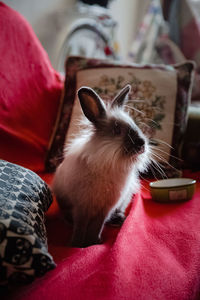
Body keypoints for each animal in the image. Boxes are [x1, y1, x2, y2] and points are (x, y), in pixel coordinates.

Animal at [52, 84, 151, 246]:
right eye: (117, 130)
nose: (142, 144)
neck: (109, 164)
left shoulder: (105, 208)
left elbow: (97, 225)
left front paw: (94, 242)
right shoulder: (81, 206)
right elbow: (80, 224)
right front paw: (77, 243)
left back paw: (118, 220)